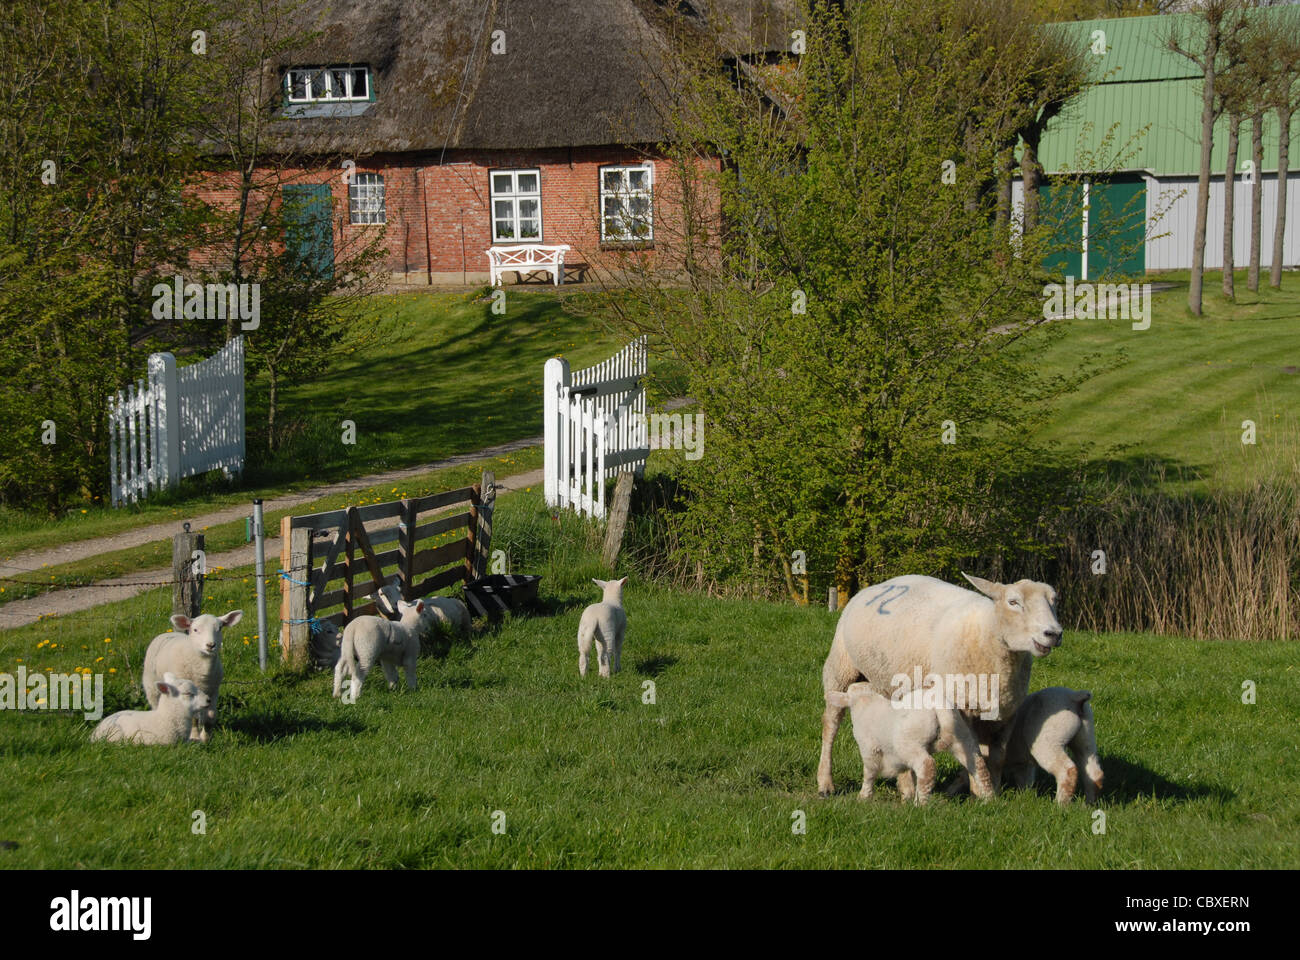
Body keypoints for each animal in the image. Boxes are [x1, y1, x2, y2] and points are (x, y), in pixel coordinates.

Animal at [143, 608, 244, 744]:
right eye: (195, 630)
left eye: (220, 628)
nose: (210, 645)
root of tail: (166, 633)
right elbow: (193, 718)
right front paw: (195, 736)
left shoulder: (213, 690)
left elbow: (210, 717)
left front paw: (206, 738)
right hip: (151, 686)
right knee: (155, 704)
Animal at [826, 676, 987, 806]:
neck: (866, 701)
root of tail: (938, 706)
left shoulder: (869, 747)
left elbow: (869, 772)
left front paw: (863, 797)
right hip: (960, 734)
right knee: (977, 762)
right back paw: (988, 798)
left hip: (909, 743)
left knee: (926, 765)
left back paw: (920, 804)